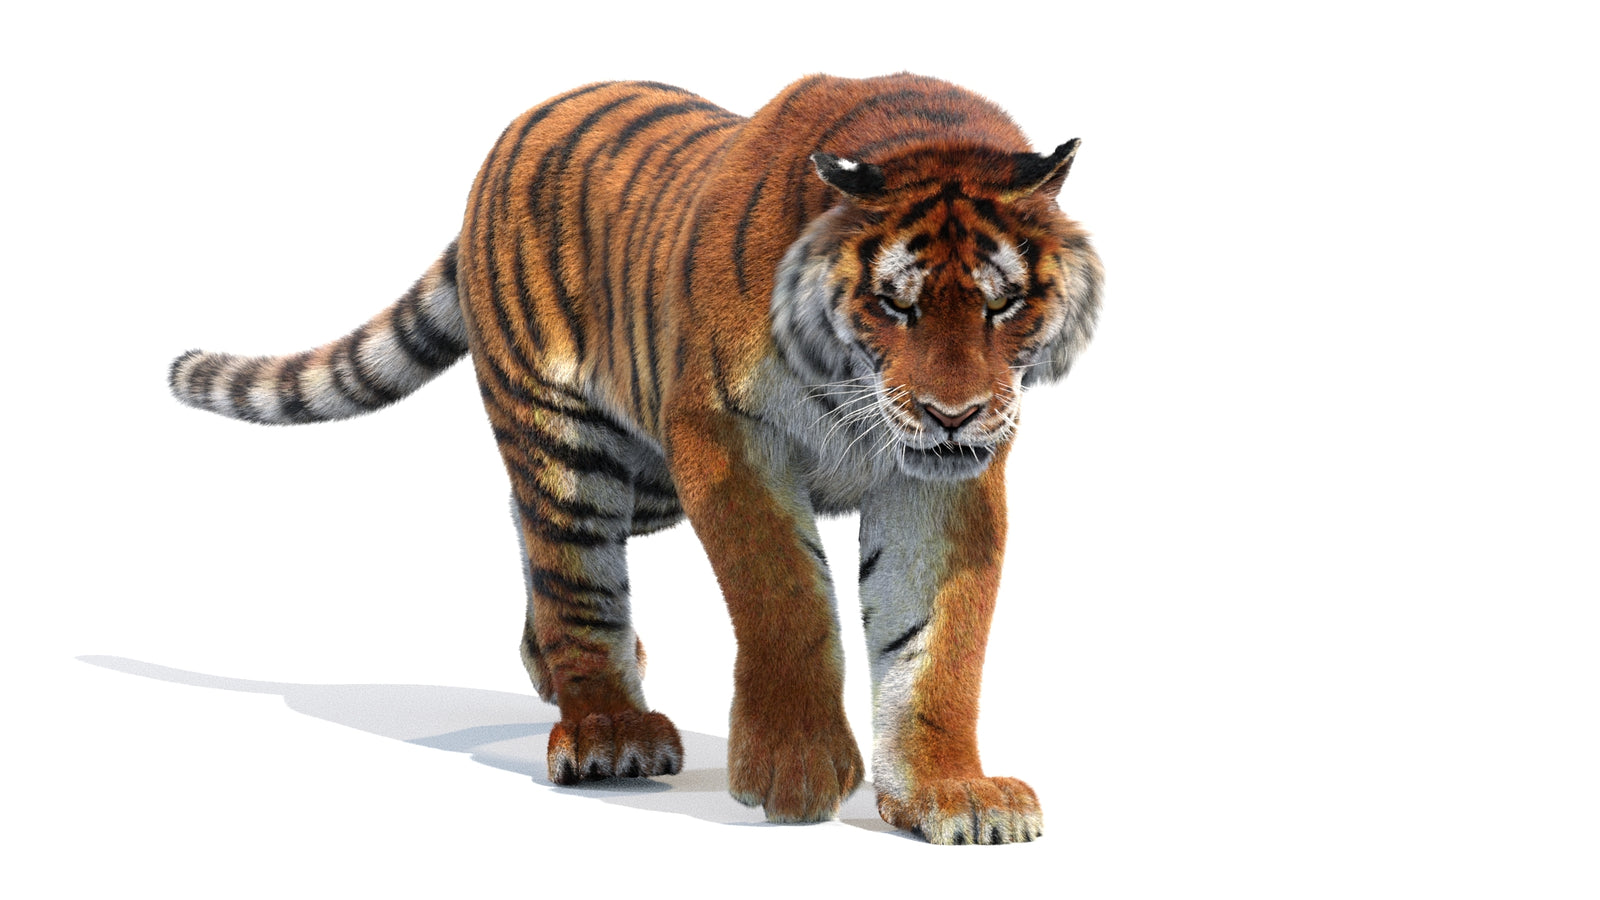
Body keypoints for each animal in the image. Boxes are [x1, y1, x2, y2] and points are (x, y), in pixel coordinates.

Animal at [169, 73, 1102, 845]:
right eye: (895, 305)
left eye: (1002, 304)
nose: (954, 414)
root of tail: (523, 122)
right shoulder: (725, 437)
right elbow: (786, 600)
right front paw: (794, 772)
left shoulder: (939, 483)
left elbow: (937, 643)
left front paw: (951, 794)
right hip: (572, 446)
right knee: (572, 574)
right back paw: (609, 730)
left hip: (649, 477)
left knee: (530, 542)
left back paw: (550, 670)